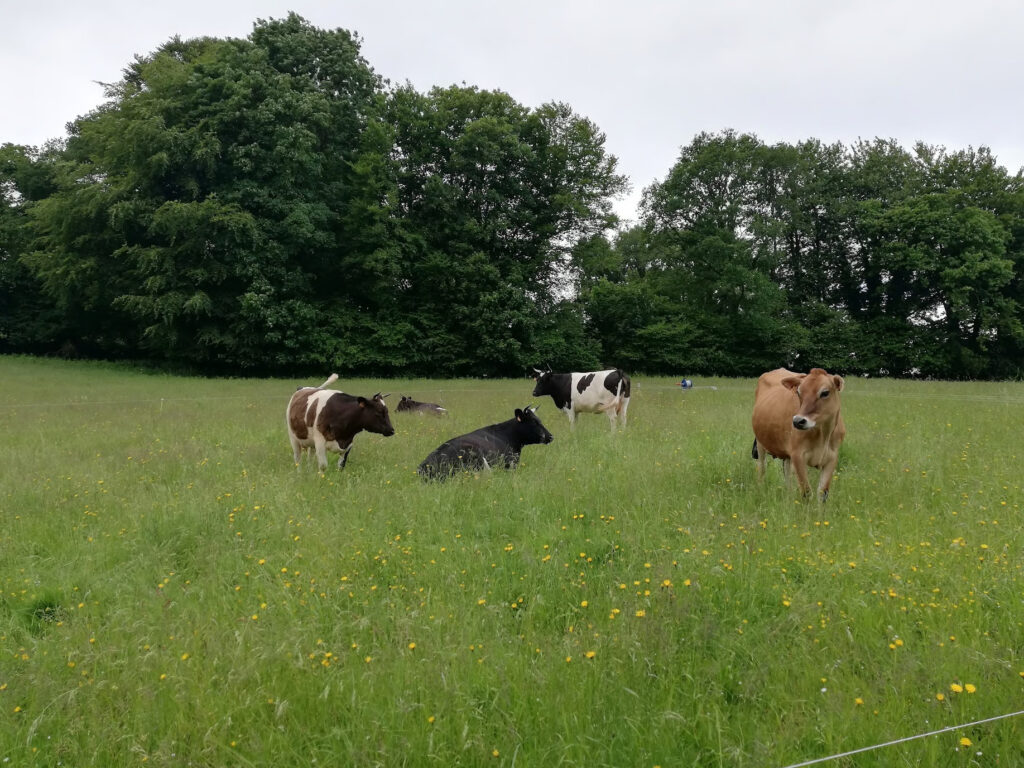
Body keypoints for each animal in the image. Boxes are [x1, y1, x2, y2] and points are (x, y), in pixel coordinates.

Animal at [751, 367, 846, 501]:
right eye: (799, 393)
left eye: (825, 392)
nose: (797, 421)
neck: (823, 434)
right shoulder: (798, 456)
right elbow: (806, 492)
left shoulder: (832, 457)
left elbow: (823, 493)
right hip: (760, 444)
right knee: (762, 468)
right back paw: (761, 489)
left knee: (787, 473)